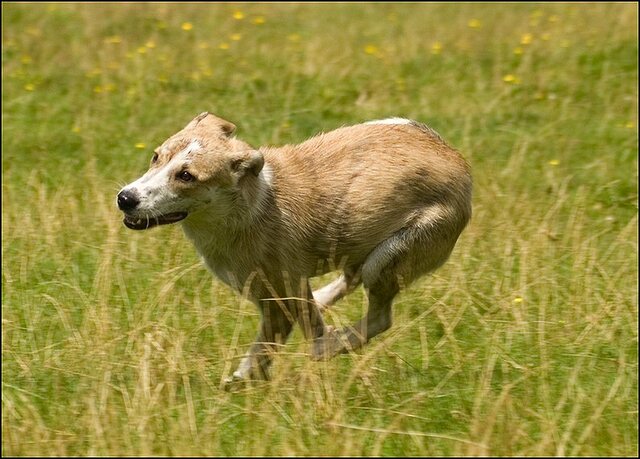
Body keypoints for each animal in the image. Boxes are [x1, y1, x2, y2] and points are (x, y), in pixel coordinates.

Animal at [117, 112, 472, 384]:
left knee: (379, 318)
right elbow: (263, 351)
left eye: (186, 176)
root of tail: (458, 161)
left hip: (387, 258)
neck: (246, 206)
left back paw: (332, 343)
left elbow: (281, 339)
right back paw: (326, 304)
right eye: (156, 156)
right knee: (349, 281)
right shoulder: (273, 299)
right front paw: (241, 384)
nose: (125, 198)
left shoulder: (285, 291)